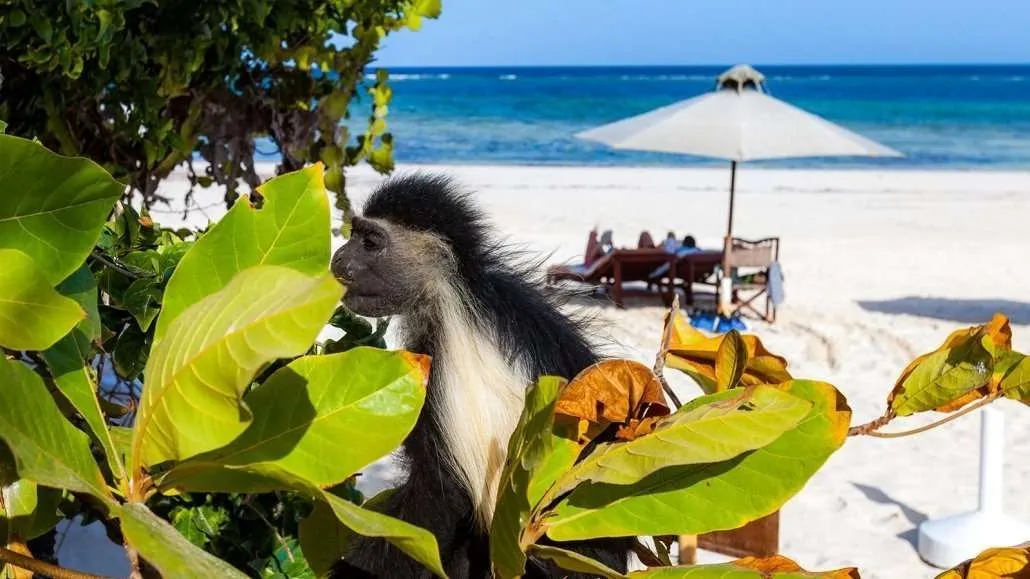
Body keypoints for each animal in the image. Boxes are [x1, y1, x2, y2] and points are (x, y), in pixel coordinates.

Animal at [328, 173, 632, 578]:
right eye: (354, 233)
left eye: (371, 243)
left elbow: (443, 498)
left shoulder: (446, 363)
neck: (455, 287)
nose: (339, 259)